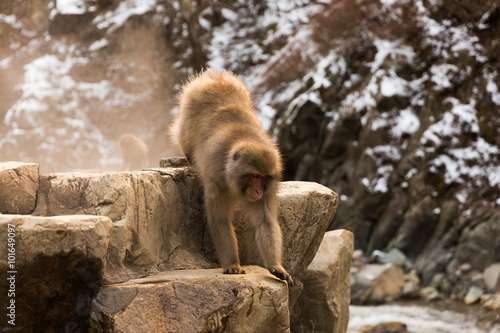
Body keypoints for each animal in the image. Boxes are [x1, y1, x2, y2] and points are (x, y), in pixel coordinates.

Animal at [173, 68, 292, 284]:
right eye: (253, 176)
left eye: (263, 177)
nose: (258, 190)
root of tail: (215, 77)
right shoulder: (217, 183)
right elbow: (220, 220)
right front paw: (232, 264)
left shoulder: (271, 187)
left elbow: (266, 222)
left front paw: (276, 266)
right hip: (188, 112)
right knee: (184, 134)